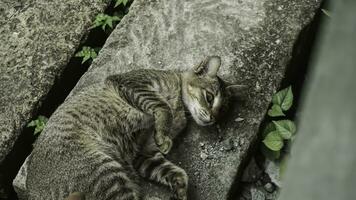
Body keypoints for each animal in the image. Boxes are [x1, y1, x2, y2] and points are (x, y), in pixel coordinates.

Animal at [27, 55, 245, 199]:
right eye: (209, 97)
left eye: (222, 112)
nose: (213, 119)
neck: (181, 109)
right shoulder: (134, 84)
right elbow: (162, 107)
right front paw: (164, 135)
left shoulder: (142, 152)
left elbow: (171, 170)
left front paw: (180, 187)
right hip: (103, 172)